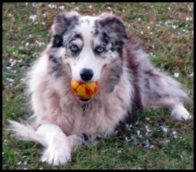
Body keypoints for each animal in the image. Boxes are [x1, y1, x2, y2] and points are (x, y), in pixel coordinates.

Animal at [8, 11, 191, 165]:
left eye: (100, 49)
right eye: (74, 48)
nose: (86, 75)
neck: (80, 104)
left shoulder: (102, 130)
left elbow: (78, 136)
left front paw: (57, 152)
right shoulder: (43, 120)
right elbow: (55, 131)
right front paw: (57, 153)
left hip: (145, 87)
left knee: (170, 93)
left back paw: (181, 113)